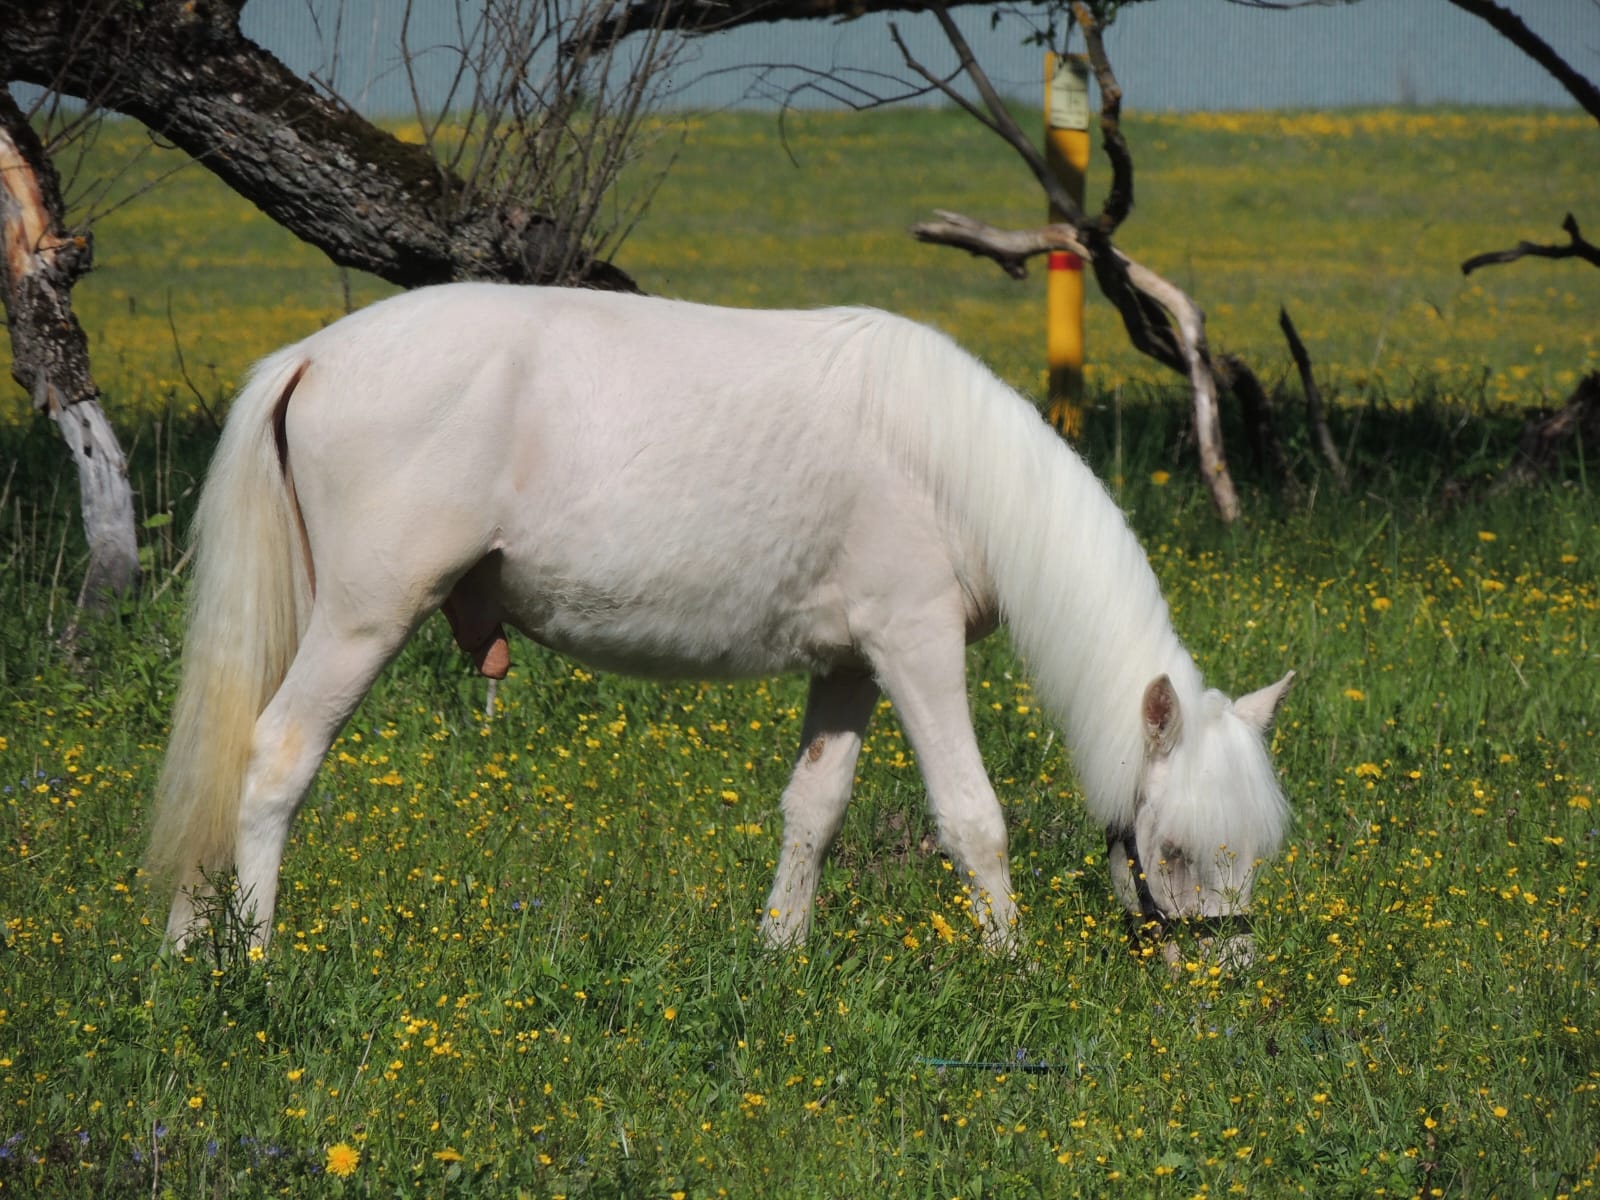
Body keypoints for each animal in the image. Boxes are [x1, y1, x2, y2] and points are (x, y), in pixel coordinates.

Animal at [146, 283, 1293, 957]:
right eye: (1174, 849)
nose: (1223, 975)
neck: (950, 462)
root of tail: (312, 355)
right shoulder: (914, 646)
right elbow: (973, 817)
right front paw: (1008, 966)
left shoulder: (849, 665)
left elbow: (812, 812)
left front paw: (779, 956)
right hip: (360, 622)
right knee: (274, 757)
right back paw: (257, 959)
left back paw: (187, 947)